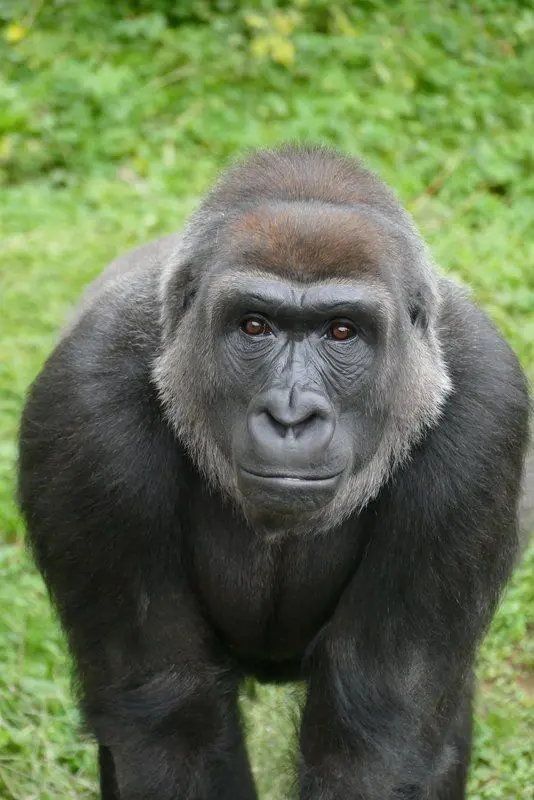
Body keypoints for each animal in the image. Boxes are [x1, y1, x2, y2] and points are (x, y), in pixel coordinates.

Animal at [18, 145, 530, 799]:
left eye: (343, 331)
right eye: (254, 325)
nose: (291, 416)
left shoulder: (483, 410)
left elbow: (379, 733)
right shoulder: (83, 400)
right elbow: (169, 723)